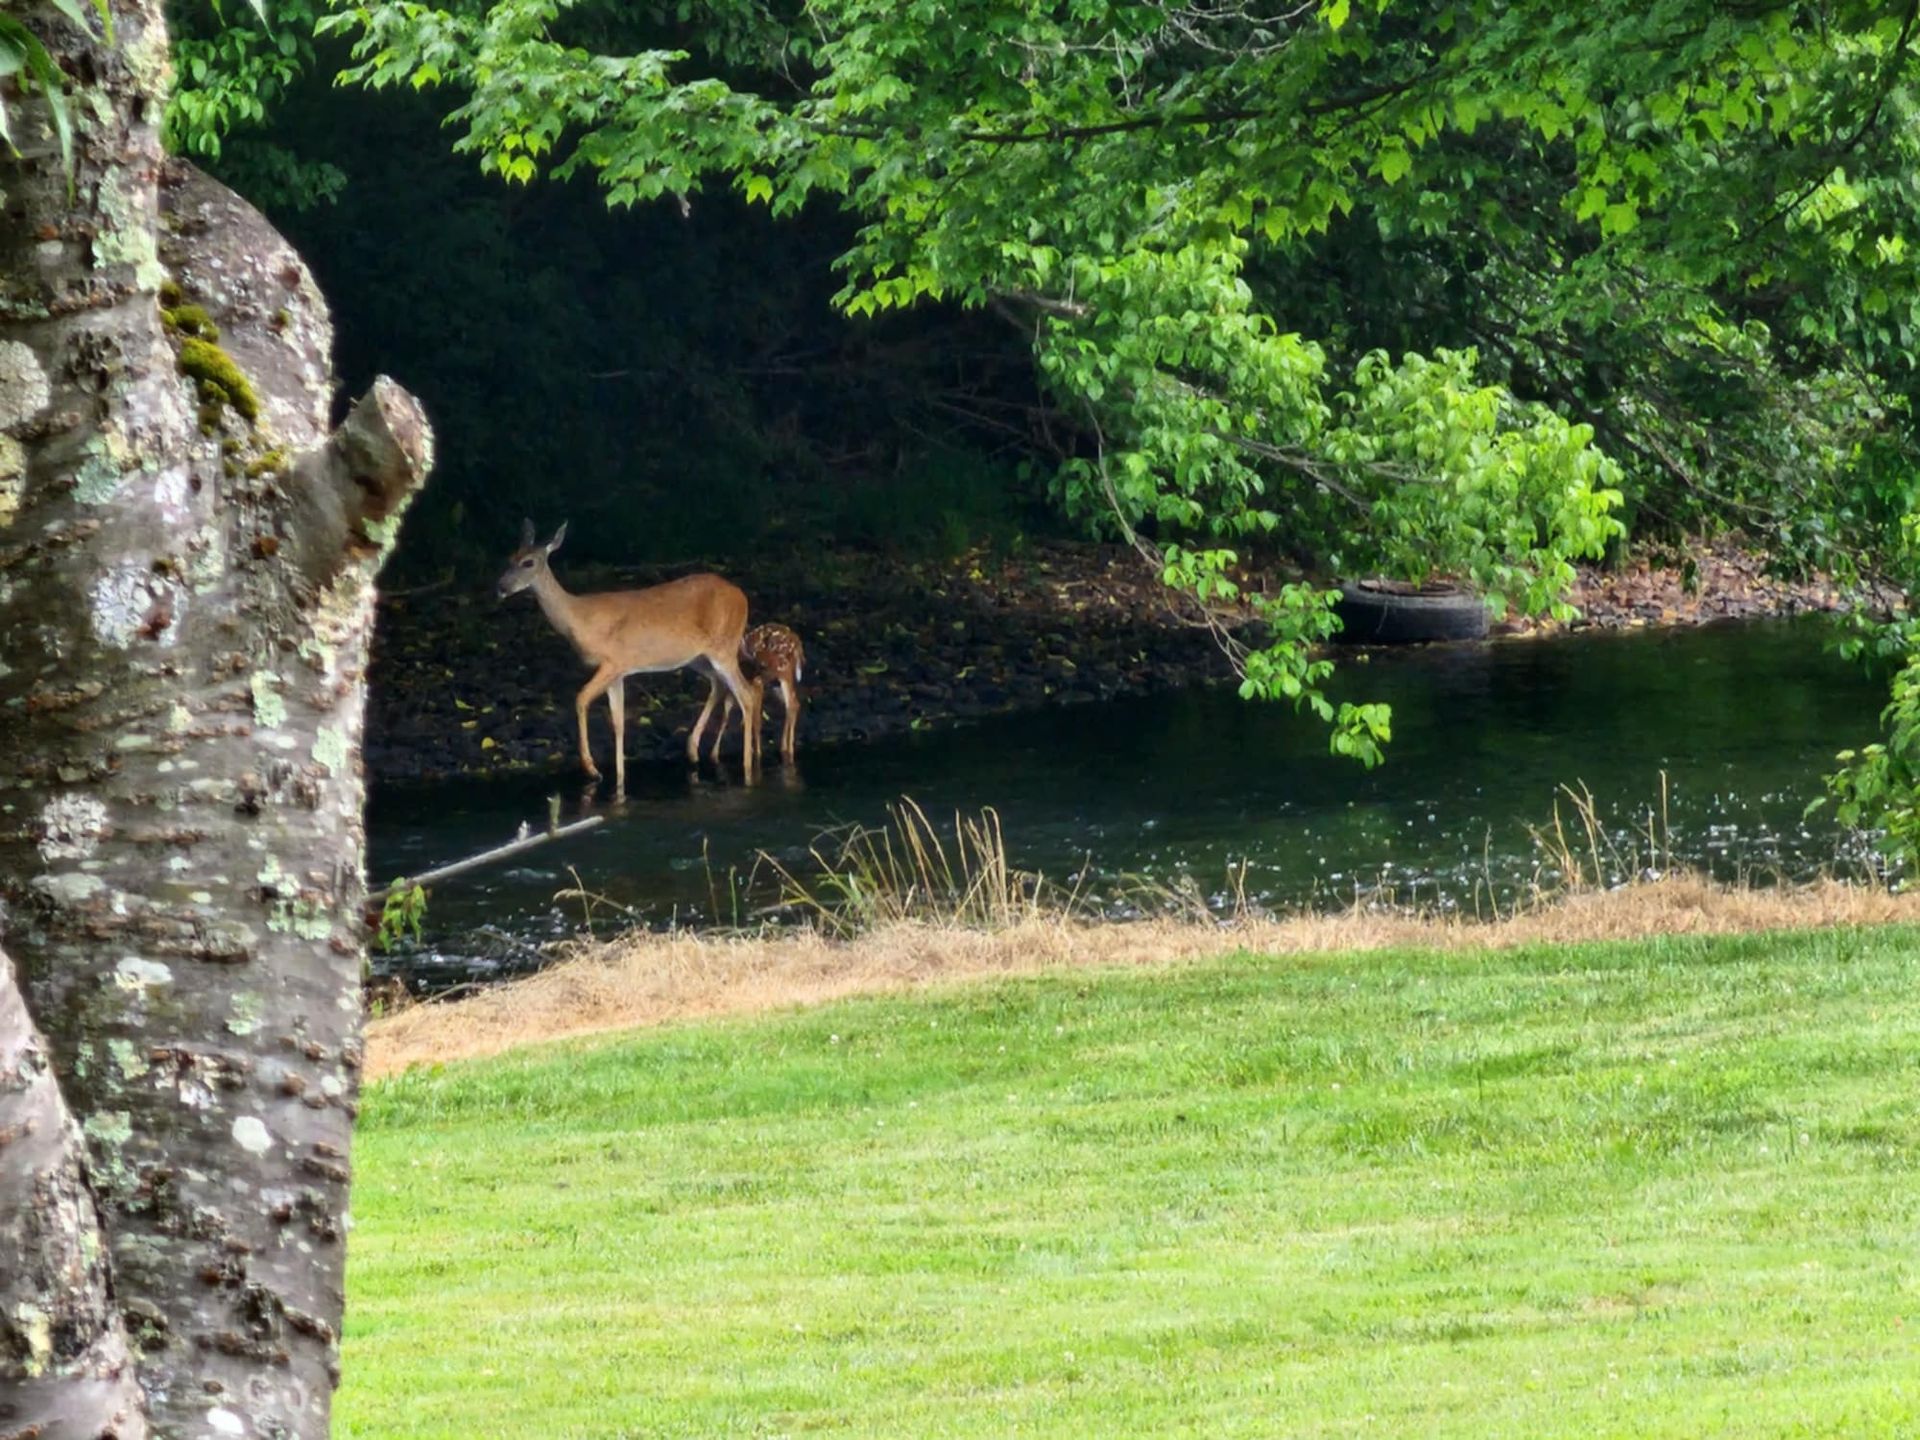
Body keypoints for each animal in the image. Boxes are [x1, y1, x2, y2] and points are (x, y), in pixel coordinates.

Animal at [495, 520, 762, 789]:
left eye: (528, 562)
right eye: (509, 557)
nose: (501, 587)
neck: (579, 619)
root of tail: (742, 595)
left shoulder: (612, 662)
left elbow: (580, 699)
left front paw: (591, 769)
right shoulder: (619, 673)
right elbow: (618, 722)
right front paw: (620, 780)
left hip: (724, 648)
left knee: (745, 694)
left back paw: (748, 768)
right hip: (698, 658)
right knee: (722, 685)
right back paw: (695, 750)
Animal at [703, 622, 806, 764]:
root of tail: (796, 640)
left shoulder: (756, 683)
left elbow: (756, 721)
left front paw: (756, 755)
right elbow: (726, 715)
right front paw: (714, 756)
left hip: (783, 671)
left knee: (792, 704)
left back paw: (787, 750)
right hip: (778, 680)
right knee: (794, 704)